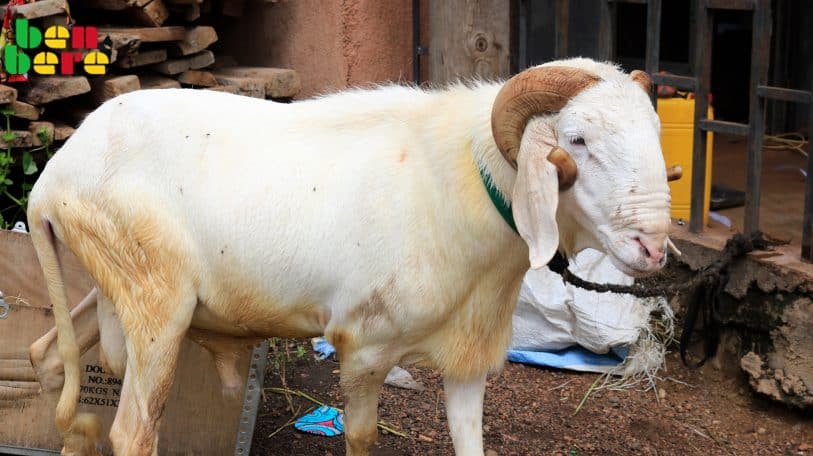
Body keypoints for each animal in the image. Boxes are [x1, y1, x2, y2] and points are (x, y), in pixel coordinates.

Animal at [26, 57, 675, 456]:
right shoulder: (365, 347)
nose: (653, 247)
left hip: (112, 283)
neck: (461, 183)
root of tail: (50, 181)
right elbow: (362, 439)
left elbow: (470, 442)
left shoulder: (467, 359)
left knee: (46, 356)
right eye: (577, 141)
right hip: (157, 303)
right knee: (132, 432)